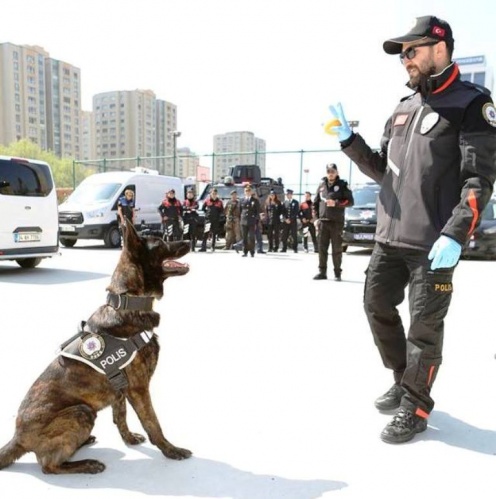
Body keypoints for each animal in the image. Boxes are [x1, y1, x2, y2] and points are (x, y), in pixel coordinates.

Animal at [0, 221, 192, 474]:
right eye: (160, 244)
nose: (189, 240)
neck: (127, 303)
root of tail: (17, 438)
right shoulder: (139, 388)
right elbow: (153, 423)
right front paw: (171, 450)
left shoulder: (120, 390)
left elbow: (120, 417)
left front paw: (129, 439)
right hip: (81, 411)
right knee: (48, 465)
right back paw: (86, 464)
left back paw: (84, 443)